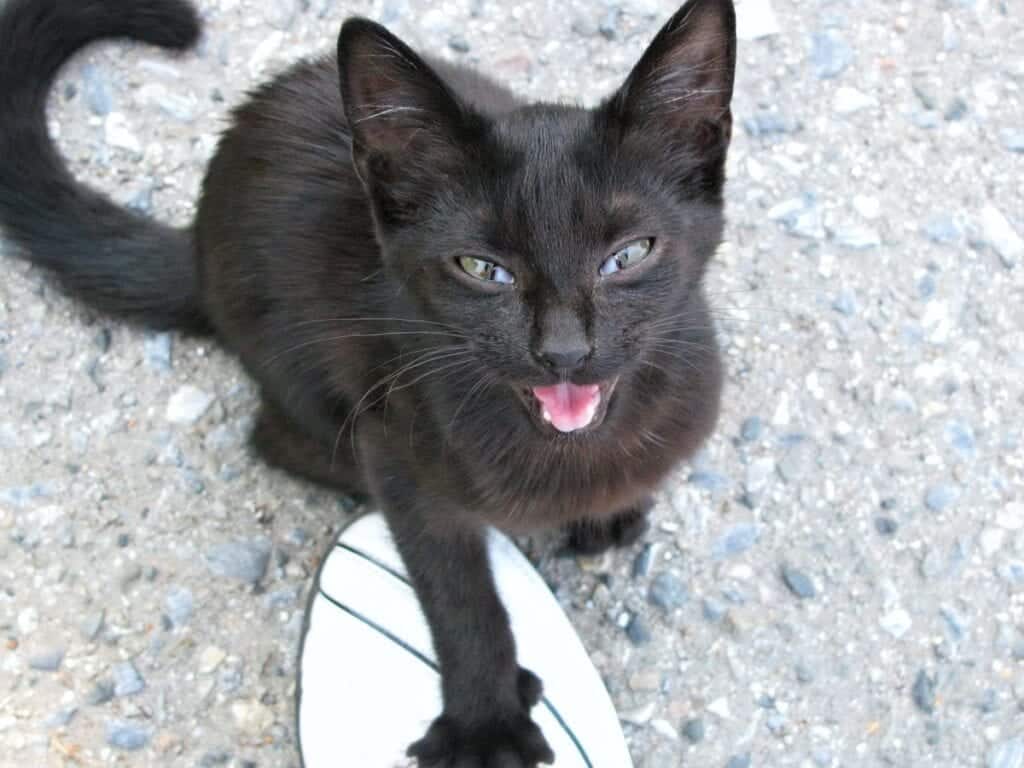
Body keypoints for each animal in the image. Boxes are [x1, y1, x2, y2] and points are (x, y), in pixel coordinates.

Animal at [0, 0, 737, 765]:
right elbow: (458, 593)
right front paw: (486, 726)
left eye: (629, 255)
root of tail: (198, 241)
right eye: (482, 269)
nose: (563, 350)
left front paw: (609, 513)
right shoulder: (396, 446)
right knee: (277, 440)